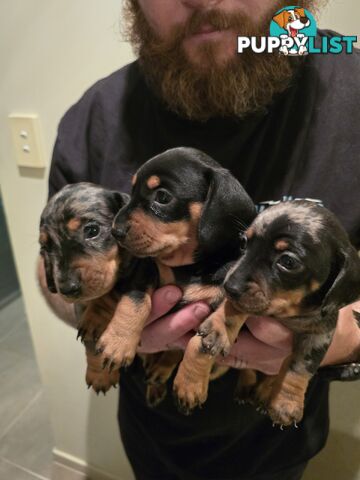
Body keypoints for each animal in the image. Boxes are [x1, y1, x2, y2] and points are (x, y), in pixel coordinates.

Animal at [39, 184, 131, 394]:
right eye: (45, 247)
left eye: (92, 230)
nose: (67, 289)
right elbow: (91, 344)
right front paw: (100, 375)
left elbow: (111, 291)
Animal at [112, 147, 256, 412]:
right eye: (132, 190)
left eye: (162, 197)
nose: (115, 231)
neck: (188, 267)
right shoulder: (146, 271)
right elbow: (136, 301)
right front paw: (116, 343)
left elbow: (201, 343)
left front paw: (190, 385)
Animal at [224, 201, 360, 426]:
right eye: (243, 242)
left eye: (288, 262)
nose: (229, 287)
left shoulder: (320, 334)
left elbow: (300, 366)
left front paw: (285, 403)